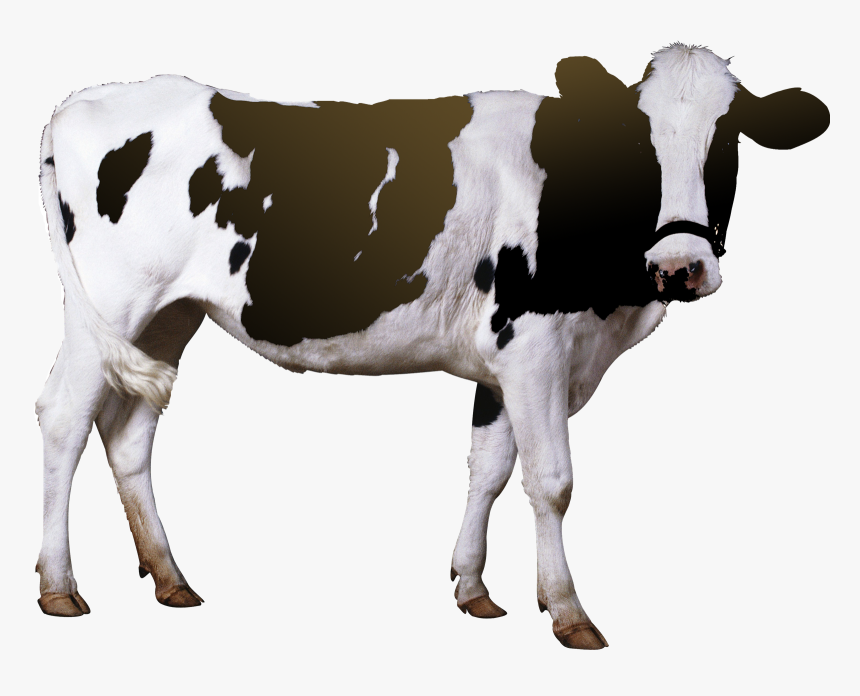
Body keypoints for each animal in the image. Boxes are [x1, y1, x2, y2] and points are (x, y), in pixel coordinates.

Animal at [35, 43, 829, 649]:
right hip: (110, 306)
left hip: (168, 316)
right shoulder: (535, 348)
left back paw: (171, 578)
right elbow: (552, 481)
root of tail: (83, 100)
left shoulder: (507, 362)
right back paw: (59, 587)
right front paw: (569, 612)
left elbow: (489, 469)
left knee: (129, 433)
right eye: (637, 141)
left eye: (728, 142)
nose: (680, 267)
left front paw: (474, 588)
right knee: (65, 419)